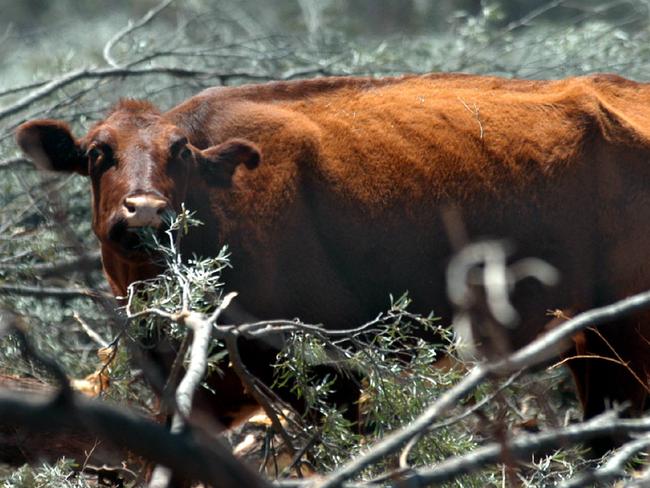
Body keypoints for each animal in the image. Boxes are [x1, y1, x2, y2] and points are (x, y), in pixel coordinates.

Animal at [13, 74, 648, 440]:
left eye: (180, 151)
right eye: (98, 152)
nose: (144, 210)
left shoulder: (334, 372)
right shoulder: (193, 395)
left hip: (624, 341)